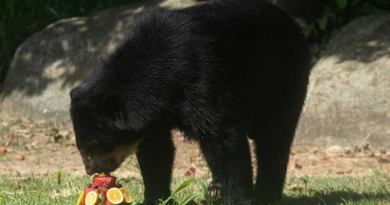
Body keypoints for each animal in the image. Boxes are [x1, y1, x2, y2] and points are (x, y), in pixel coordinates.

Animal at [70, 0, 312, 203]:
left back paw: (266, 193)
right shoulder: (154, 116)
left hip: (284, 78)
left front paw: (239, 198)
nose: (91, 170)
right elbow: (156, 150)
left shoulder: (203, 78)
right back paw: (216, 188)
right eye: (81, 147)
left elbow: (226, 139)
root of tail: (292, 23)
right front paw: (156, 198)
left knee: (274, 136)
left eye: (94, 146)